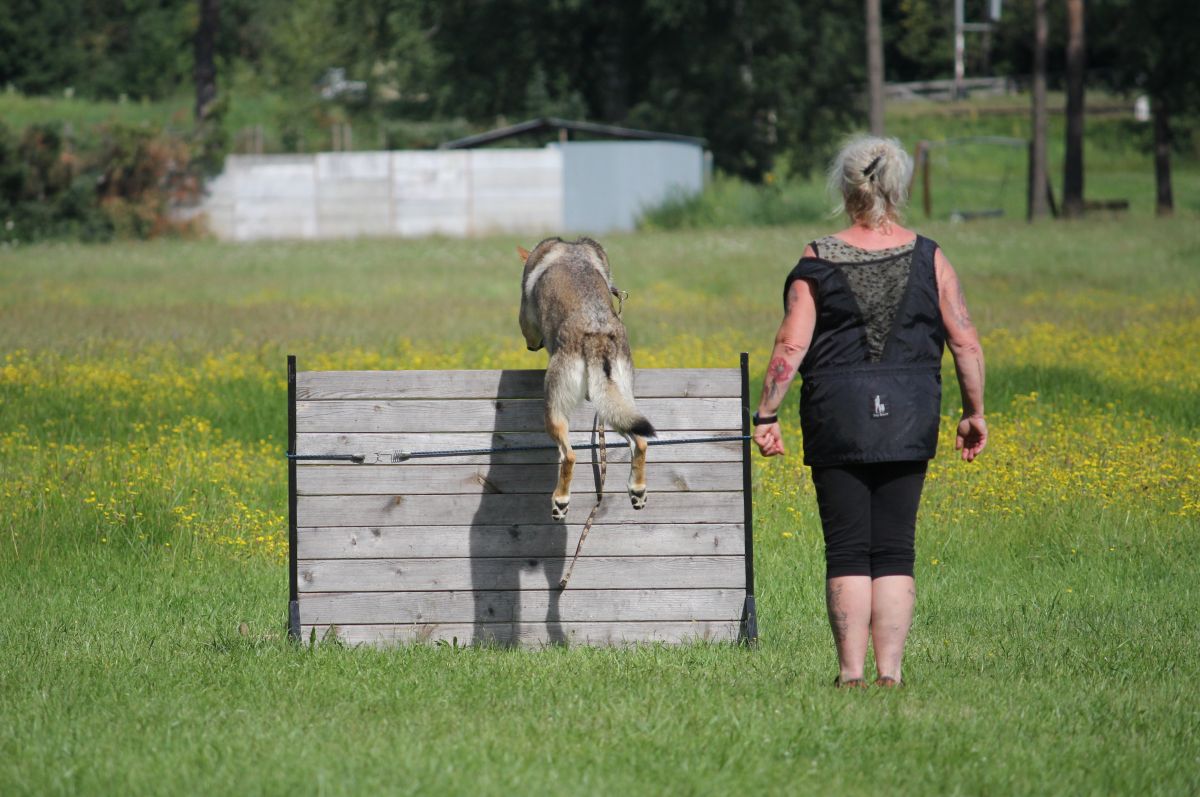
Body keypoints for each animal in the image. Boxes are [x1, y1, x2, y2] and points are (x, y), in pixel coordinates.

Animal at [518, 236, 657, 520]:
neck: (570, 249)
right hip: (615, 406)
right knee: (640, 442)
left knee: (569, 455)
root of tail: (597, 336)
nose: (533, 348)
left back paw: (560, 502)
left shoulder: (526, 316)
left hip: (555, 410)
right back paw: (637, 491)